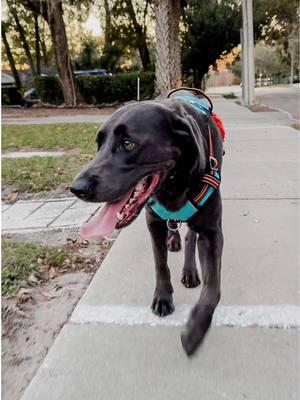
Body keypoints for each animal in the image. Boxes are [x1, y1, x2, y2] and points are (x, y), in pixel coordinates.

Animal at [70, 90, 223, 356]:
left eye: (128, 143)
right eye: (99, 144)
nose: (77, 188)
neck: (173, 184)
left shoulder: (212, 233)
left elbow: (212, 289)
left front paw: (195, 330)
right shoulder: (154, 223)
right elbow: (160, 264)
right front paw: (163, 297)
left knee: (190, 235)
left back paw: (189, 270)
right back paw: (174, 241)